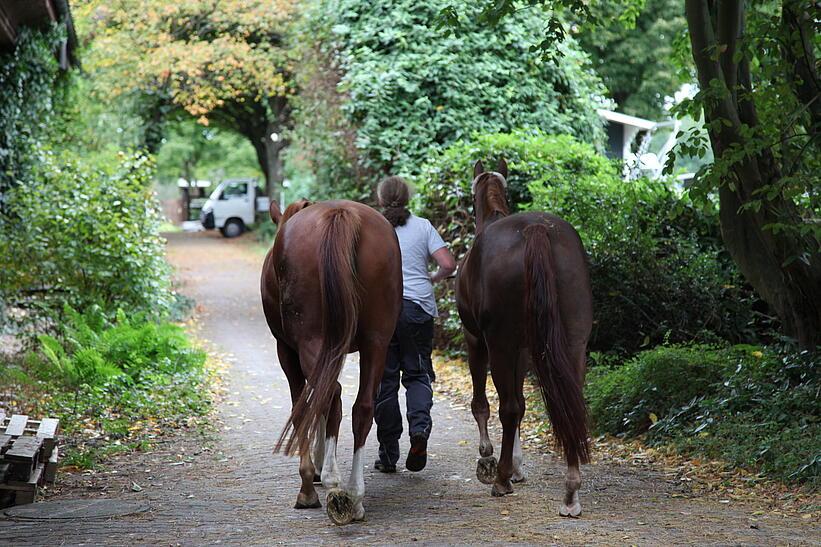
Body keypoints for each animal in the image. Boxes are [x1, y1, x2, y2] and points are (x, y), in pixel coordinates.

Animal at [262, 199, 402, 524]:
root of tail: (341, 213)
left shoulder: (286, 350)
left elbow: (303, 406)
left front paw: (310, 479)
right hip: (377, 340)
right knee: (361, 407)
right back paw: (355, 496)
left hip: (310, 339)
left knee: (330, 395)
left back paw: (330, 482)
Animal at [458, 159, 592, 520]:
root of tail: (537, 230)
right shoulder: (521, 351)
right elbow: (521, 403)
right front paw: (516, 465)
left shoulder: (477, 341)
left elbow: (485, 404)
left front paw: (489, 457)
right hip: (572, 344)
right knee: (569, 405)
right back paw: (571, 492)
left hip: (498, 344)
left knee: (507, 407)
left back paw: (501, 478)